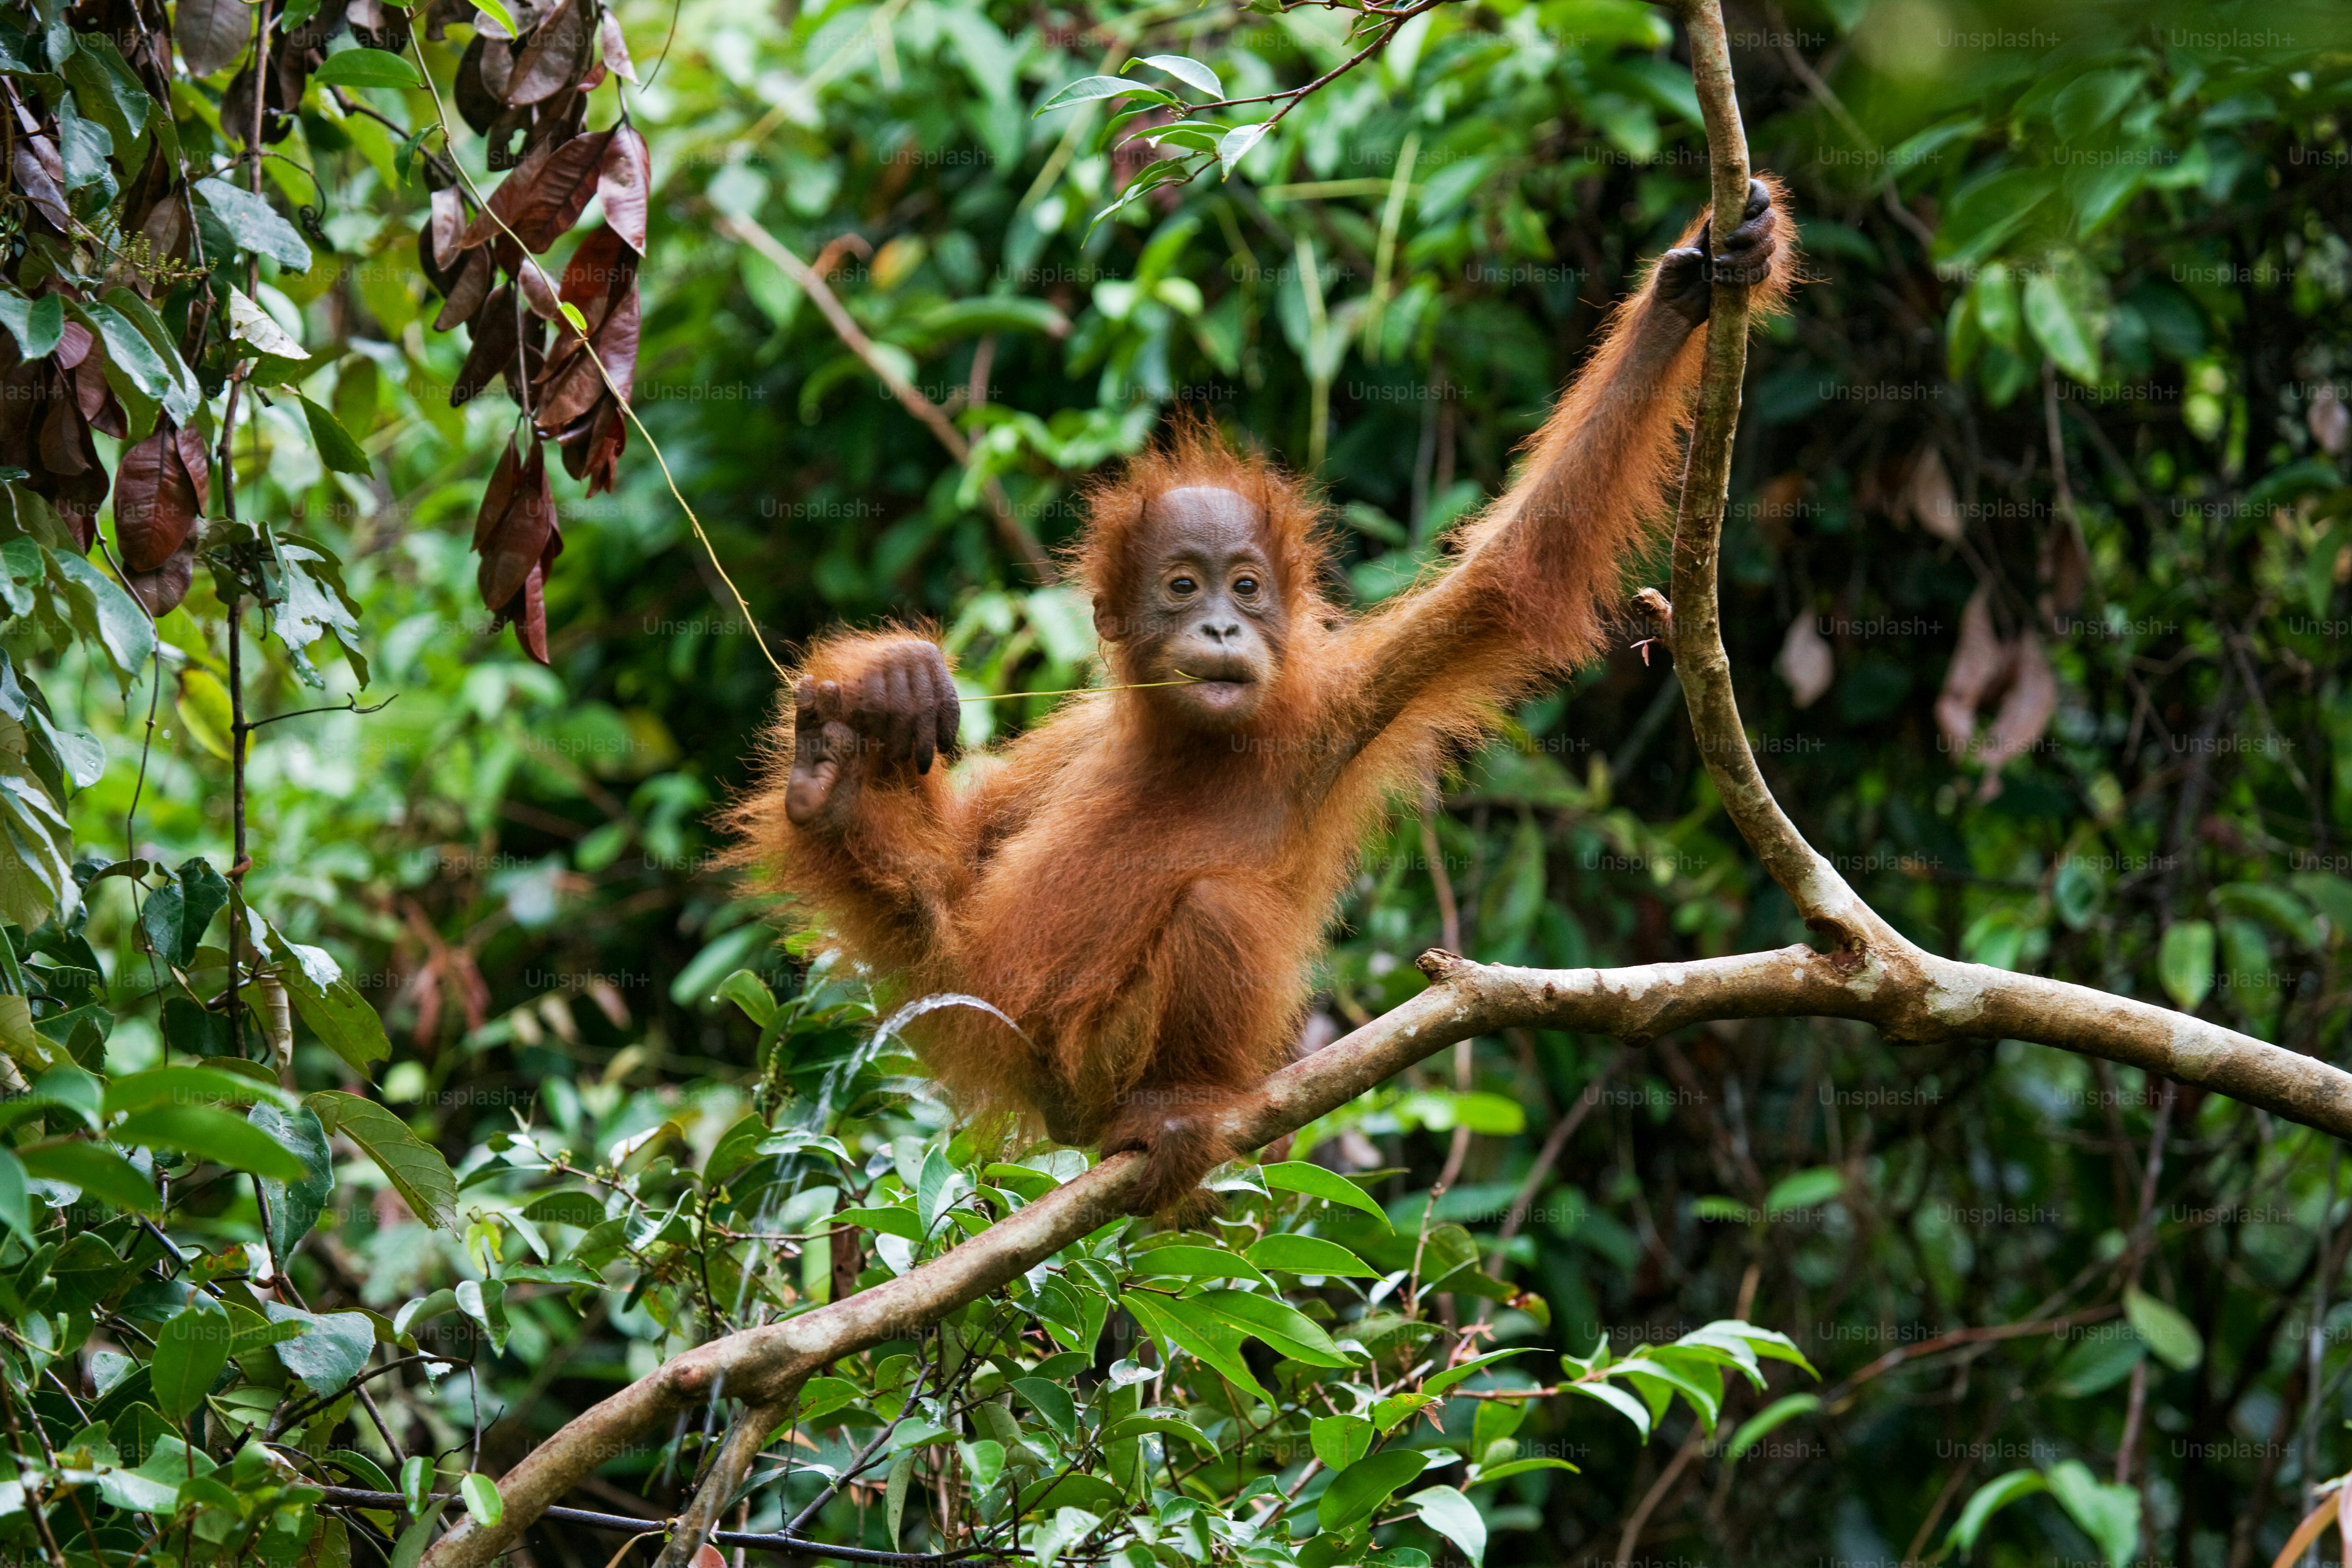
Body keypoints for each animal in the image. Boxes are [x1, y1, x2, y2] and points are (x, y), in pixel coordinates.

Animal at [736, 179, 1792, 1214]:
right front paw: (894, 676)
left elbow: (1516, 570)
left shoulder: (1339, 707)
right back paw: (827, 780)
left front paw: (1690, 286)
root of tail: (1047, 1088)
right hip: (993, 1008)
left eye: (1245, 586)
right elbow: (968, 852)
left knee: (1216, 908)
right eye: (1182, 586)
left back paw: (1169, 1109)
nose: (1218, 629)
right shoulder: (1076, 736)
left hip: (1090, 1058)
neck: (1200, 741)